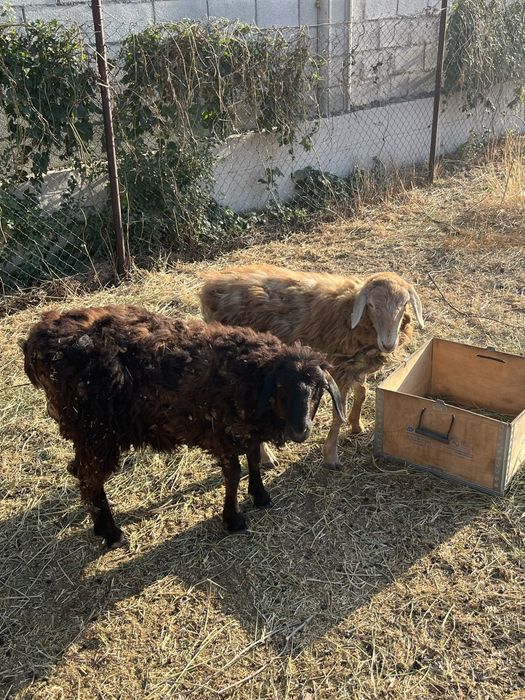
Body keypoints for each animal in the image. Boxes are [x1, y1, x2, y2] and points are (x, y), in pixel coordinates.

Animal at [22, 304, 345, 549]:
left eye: (318, 390)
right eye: (280, 389)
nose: (301, 431)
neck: (248, 374)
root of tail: (37, 338)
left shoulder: (245, 429)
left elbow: (253, 458)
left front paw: (260, 495)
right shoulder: (221, 433)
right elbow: (233, 473)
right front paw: (233, 518)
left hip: (87, 431)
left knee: (79, 471)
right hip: (95, 430)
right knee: (90, 478)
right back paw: (112, 533)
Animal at [199, 264, 424, 469]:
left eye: (404, 304)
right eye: (371, 305)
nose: (388, 343)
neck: (351, 315)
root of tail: (209, 285)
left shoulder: (355, 367)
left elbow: (362, 393)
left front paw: (356, 425)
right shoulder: (338, 370)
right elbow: (338, 415)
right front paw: (331, 457)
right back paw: (266, 457)